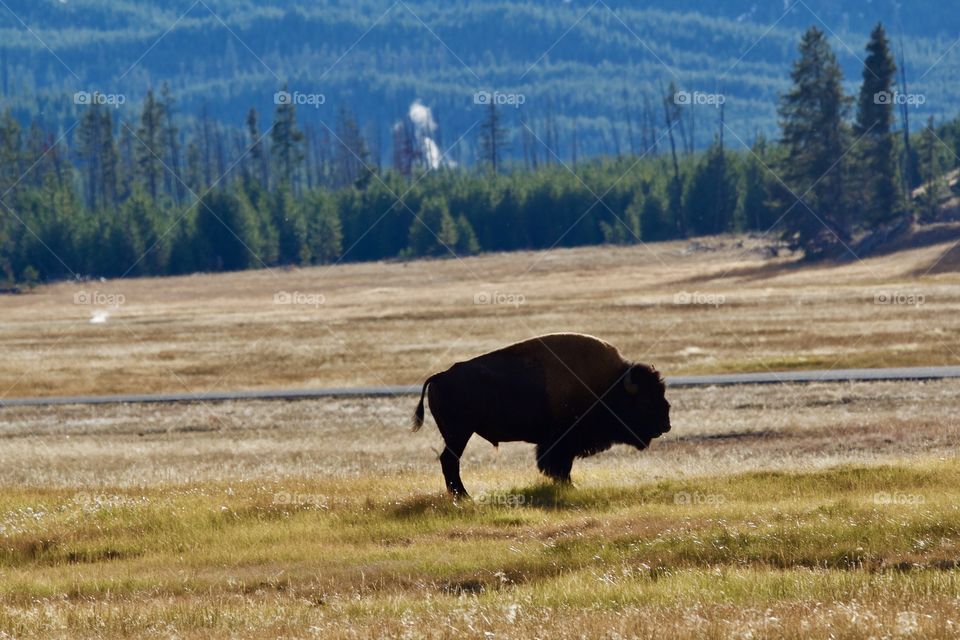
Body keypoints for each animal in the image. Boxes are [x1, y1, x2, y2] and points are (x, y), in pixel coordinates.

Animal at [412, 333, 671, 496]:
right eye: (645, 401)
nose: (665, 425)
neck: (607, 387)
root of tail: (440, 376)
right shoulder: (561, 442)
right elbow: (559, 466)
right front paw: (569, 487)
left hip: (457, 434)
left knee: (449, 461)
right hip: (459, 434)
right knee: (449, 461)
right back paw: (463, 496)